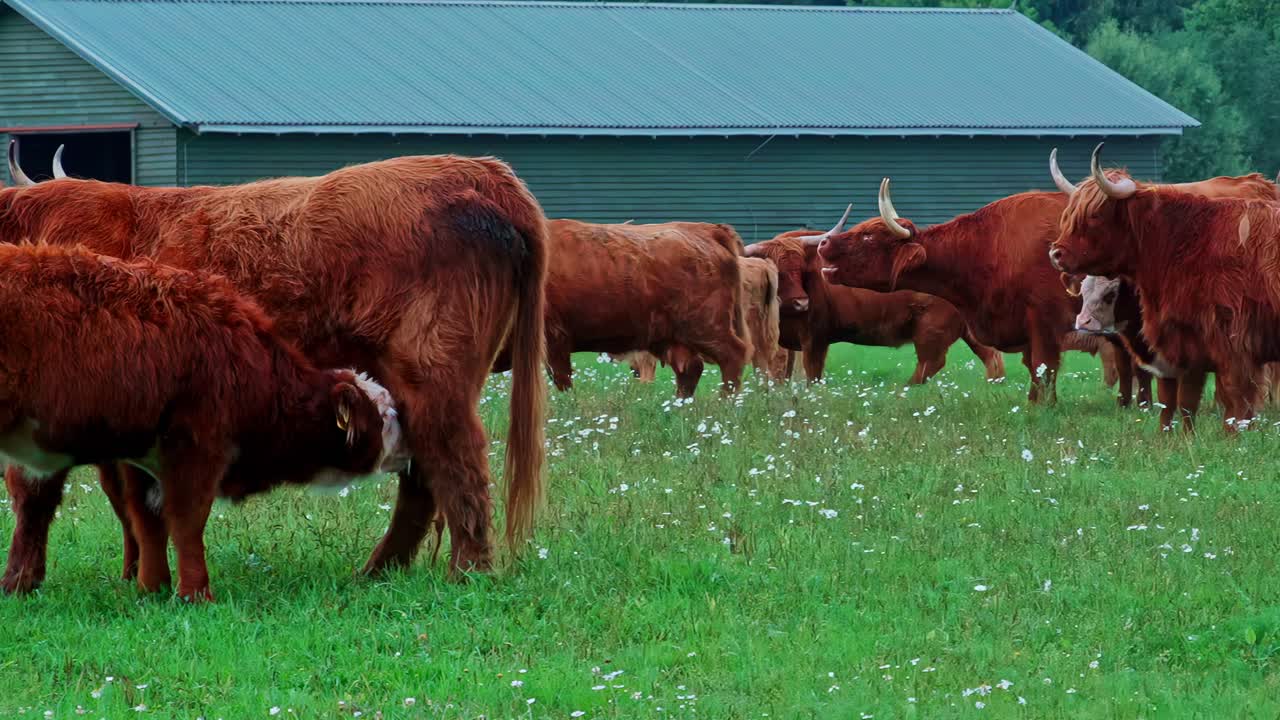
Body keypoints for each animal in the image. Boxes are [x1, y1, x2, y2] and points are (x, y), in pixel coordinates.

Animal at [0, 245, 405, 601]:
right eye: (386, 417)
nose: (410, 448)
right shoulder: (197, 445)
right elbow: (186, 521)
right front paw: (195, 593)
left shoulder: (142, 455)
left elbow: (148, 522)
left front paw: (153, 588)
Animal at [498, 219, 749, 395]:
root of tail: (706, 229)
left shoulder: (554, 338)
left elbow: (562, 381)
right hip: (671, 337)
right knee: (690, 369)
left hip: (707, 327)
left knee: (732, 356)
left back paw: (726, 403)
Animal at [811, 186, 1105, 401]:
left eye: (869, 236)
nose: (824, 241)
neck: (988, 248)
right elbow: (1034, 370)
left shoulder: (1045, 320)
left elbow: (1044, 368)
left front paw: (1042, 409)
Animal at [1049, 143, 1280, 431]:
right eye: (1068, 214)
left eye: (1093, 215)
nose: (1055, 254)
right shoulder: (1185, 345)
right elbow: (1179, 403)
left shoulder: (1233, 345)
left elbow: (1236, 403)